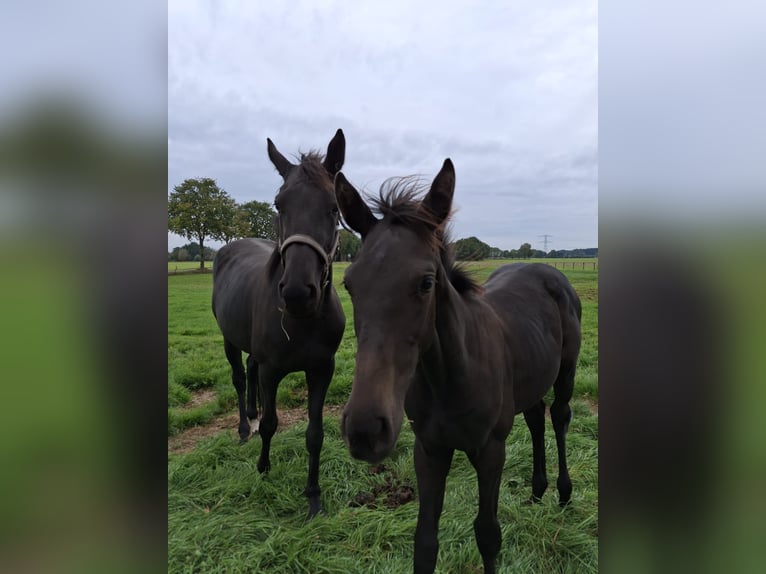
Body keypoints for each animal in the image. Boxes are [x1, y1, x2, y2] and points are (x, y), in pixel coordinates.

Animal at [212, 130, 346, 518]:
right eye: (278, 205)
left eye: (334, 207)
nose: (298, 292)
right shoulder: (273, 371)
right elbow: (272, 423)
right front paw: (263, 467)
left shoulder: (322, 369)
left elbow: (315, 433)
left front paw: (313, 495)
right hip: (228, 339)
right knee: (240, 378)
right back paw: (245, 427)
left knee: (250, 369)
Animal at [333, 159, 582, 573]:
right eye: (350, 284)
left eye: (426, 282)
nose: (366, 430)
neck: (450, 378)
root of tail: (546, 270)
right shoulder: (429, 450)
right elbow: (425, 542)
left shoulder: (491, 450)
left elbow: (488, 535)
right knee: (535, 417)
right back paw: (536, 492)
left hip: (566, 371)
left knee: (559, 416)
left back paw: (563, 494)